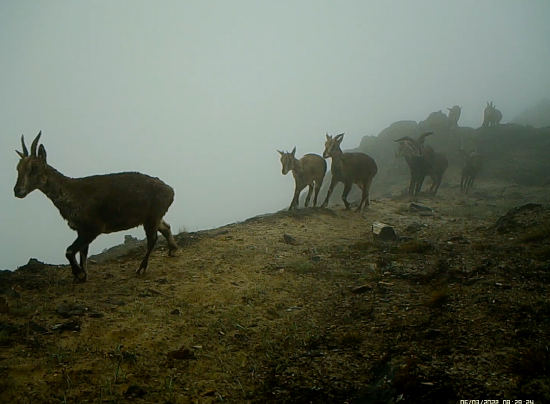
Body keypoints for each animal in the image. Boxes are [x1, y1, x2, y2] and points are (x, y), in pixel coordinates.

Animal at [14, 132, 179, 280]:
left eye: (35, 166)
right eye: (18, 167)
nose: (17, 191)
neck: (71, 193)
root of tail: (170, 191)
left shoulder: (93, 228)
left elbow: (69, 251)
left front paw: (79, 274)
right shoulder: (81, 229)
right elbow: (82, 253)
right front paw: (83, 275)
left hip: (152, 216)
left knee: (152, 238)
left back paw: (141, 269)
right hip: (152, 217)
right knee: (166, 227)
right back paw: (173, 250)